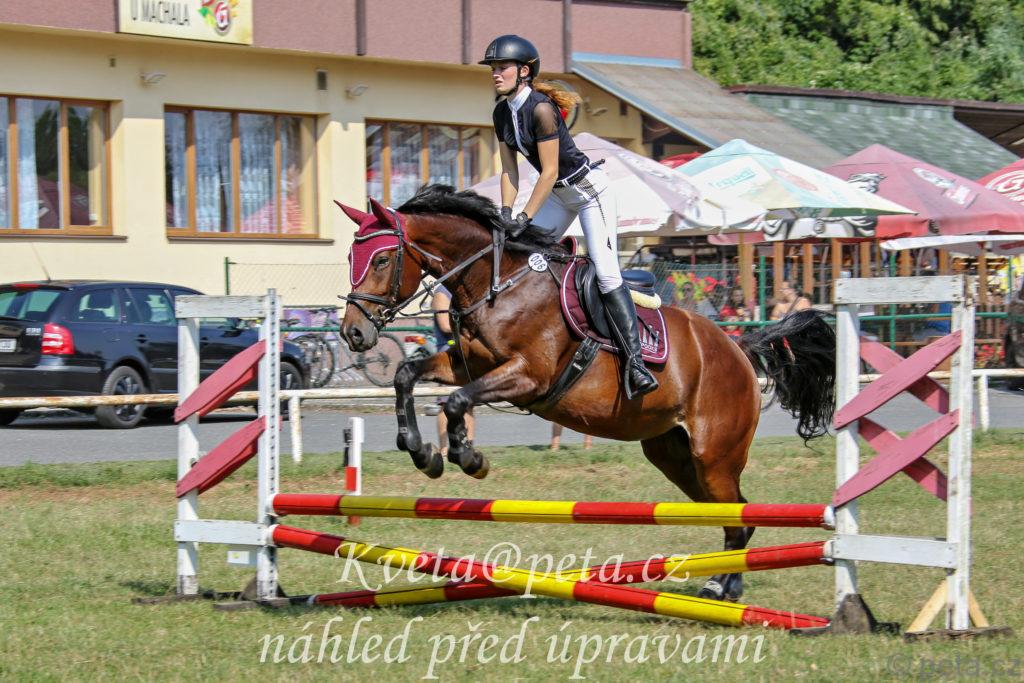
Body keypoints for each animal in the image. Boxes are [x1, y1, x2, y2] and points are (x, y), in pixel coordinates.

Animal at [337, 185, 836, 602]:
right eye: (350, 257)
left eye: (381, 260)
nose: (354, 334)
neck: (496, 283)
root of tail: (739, 348)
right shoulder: (468, 365)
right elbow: (407, 374)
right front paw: (422, 452)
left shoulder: (528, 377)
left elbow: (457, 401)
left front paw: (468, 458)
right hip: (675, 457)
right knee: (736, 516)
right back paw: (727, 584)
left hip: (715, 456)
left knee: (738, 517)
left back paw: (720, 586)